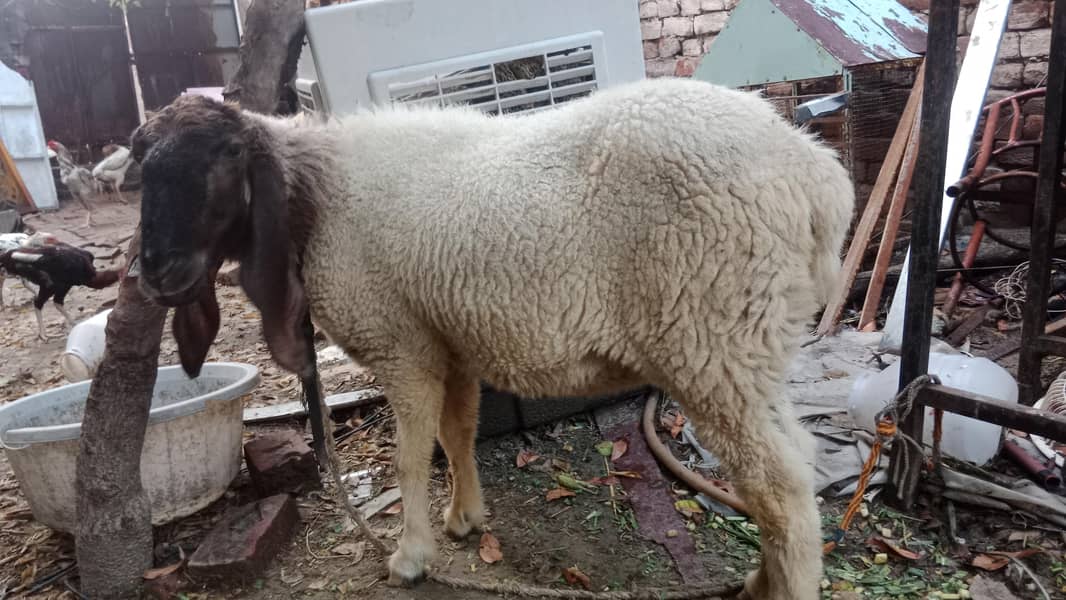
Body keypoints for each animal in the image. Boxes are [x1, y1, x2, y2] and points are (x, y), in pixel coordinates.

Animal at [132, 77, 855, 600]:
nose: (155, 271)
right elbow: (457, 435)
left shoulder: (401, 346)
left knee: (780, 490)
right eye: (141, 171)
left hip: (713, 339)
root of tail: (817, 175)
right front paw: (464, 520)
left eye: (226, 157)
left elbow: (410, 456)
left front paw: (411, 556)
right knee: (794, 461)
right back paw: (762, 579)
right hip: (753, 343)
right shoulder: (448, 342)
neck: (317, 196)